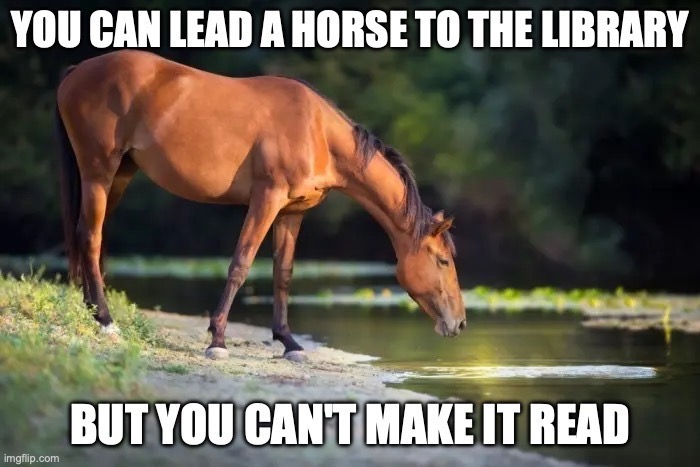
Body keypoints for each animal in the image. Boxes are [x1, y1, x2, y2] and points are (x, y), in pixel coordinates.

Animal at [55, 50, 466, 361]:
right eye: (443, 261)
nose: (460, 323)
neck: (317, 132)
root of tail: (79, 71)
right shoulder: (266, 199)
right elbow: (241, 264)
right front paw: (217, 340)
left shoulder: (293, 212)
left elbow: (282, 274)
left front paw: (289, 343)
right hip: (99, 170)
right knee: (90, 237)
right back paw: (106, 321)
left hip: (120, 175)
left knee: (90, 238)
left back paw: (93, 312)